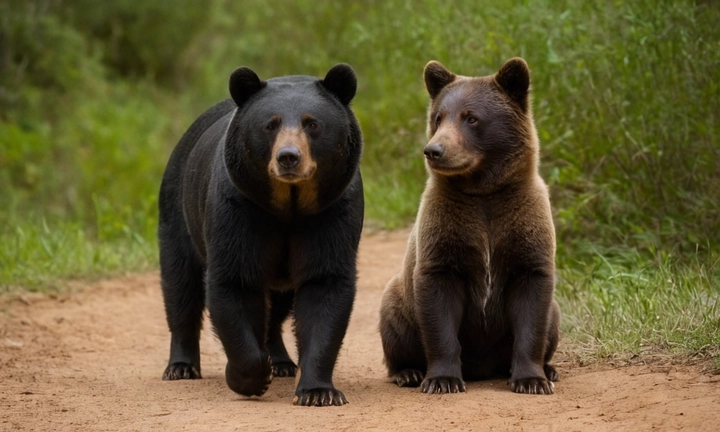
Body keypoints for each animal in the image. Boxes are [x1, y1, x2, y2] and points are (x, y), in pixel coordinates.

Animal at [161, 62, 368, 406]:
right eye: (270, 125)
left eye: (312, 124)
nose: (288, 157)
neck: (289, 203)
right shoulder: (238, 208)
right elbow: (234, 281)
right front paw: (250, 377)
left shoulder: (333, 210)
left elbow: (324, 284)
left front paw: (318, 391)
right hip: (178, 208)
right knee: (180, 283)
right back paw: (181, 366)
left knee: (278, 307)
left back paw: (281, 361)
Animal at [380, 56, 560, 394]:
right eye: (438, 117)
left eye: (471, 118)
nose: (434, 150)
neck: (482, 191)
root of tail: (484, 368)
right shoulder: (446, 230)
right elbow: (438, 307)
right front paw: (442, 379)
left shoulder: (523, 226)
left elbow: (533, 306)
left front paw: (532, 380)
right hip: (399, 301)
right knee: (393, 324)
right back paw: (408, 372)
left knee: (553, 317)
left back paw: (549, 368)